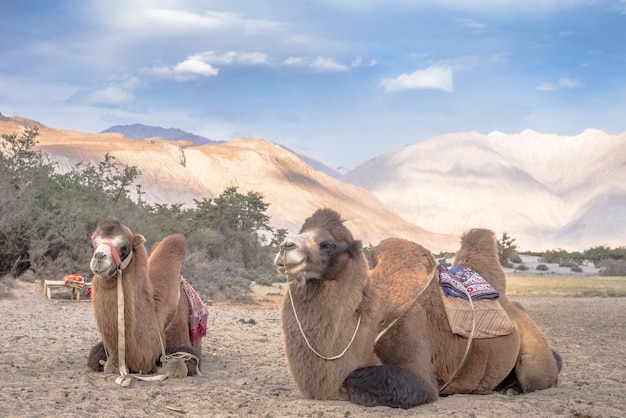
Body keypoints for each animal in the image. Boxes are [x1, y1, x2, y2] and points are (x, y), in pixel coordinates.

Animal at [86, 216, 205, 378]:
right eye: (92, 244)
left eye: (125, 247)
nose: (99, 257)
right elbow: (101, 361)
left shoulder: (180, 341)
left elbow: (177, 366)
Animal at [276, 209, 560, 408]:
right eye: (301, 230)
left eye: (328, 244)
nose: (284, 246)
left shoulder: (412, 345)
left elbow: (356, 378)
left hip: (534, 354)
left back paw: (513, 388)